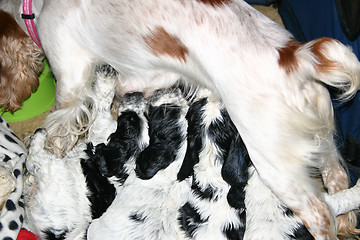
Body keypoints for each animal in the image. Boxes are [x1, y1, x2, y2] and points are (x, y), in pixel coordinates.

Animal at [2, 0, 360, 239]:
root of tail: (296, 57)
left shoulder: (70, 79)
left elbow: (59, 124)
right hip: (325, 141)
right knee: (338, 178)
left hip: (275, 164)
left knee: (320, 214)